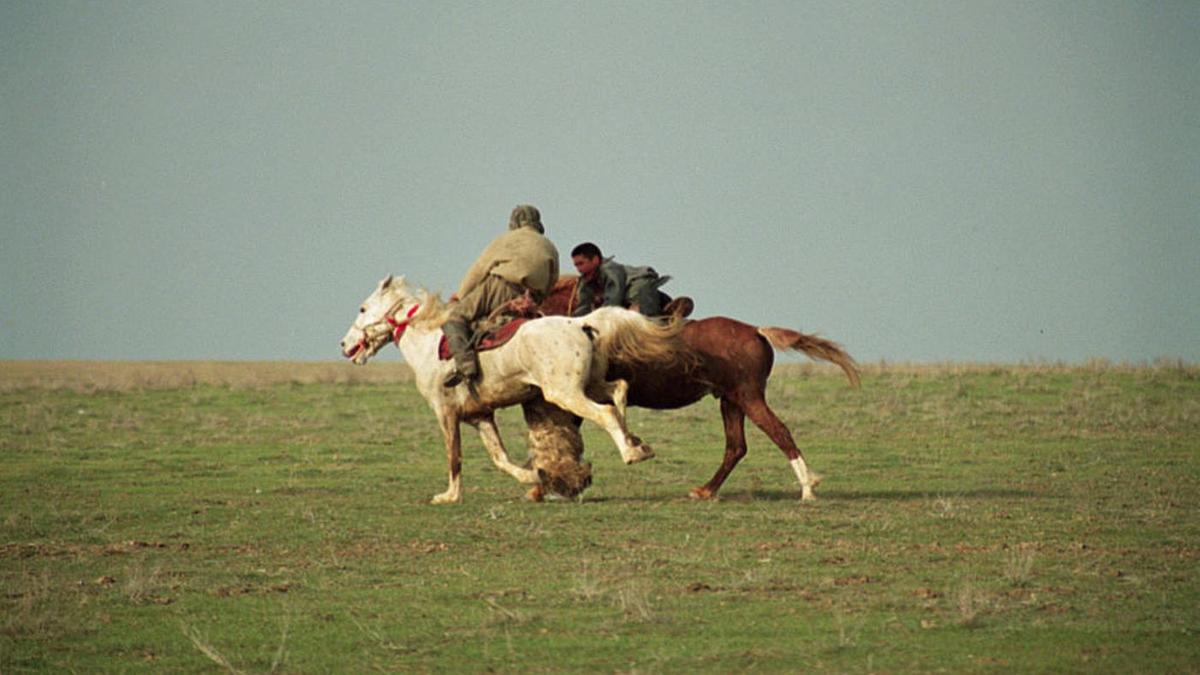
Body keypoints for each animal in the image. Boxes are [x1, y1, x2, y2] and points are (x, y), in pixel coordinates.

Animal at [343, 271, 691, 499]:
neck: (429, 343)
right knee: (618, 390)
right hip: (587, 385)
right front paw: (533, 476)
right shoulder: (480, 416)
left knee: (605, 412)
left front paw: (448, 496)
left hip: (565, 393)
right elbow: (500, 458)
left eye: (362, 308)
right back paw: (637, 443)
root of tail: (579, 323)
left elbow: (454, 456)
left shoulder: (446, 413)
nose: (345, 345)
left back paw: (631, 453)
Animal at [540, 275, 859, 499]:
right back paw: (706, 491)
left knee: (779, 433)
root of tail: (756, 331)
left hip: (748, 397)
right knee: (736, 447)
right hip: (731, 401)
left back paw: (807, 488)